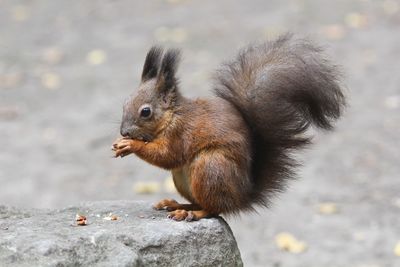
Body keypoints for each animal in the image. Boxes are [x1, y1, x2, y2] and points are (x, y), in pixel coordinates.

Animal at [112, 34, 346, 222]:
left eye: (146, 112)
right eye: (125, 102)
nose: (124, 132)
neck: (172, 116)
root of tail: (241, 197)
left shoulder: (181, 133)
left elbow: (168, 155)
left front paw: (130, 145)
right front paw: (120, 143)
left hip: (210, 168)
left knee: (214, 209)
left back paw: (190, 213)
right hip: (184, 179)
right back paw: (176, 204)